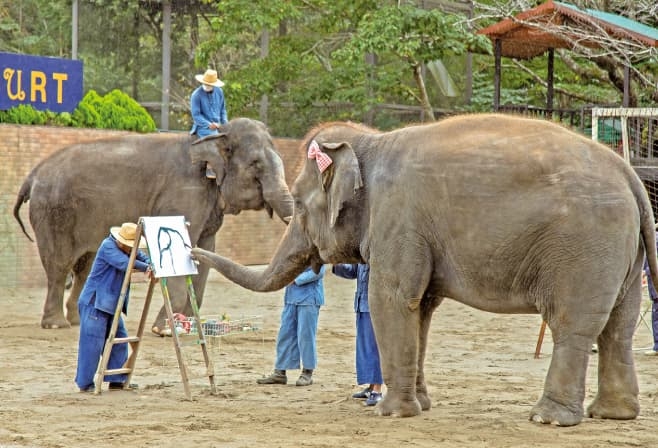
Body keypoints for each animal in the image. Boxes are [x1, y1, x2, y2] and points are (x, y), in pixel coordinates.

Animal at [13, 118, 292, 332]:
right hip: (54, 212)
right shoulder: (185, 196)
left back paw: (77, 321)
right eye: (256, 165)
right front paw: (164, 329)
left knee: (85, 266)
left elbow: (205, 251)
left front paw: (182, 326)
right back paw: (56, 324)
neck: (214, 135)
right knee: (59, 265)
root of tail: (32, 175)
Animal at [192, 114, 656, 426]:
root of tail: (630, 176)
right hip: (623, 252)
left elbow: (392, 301)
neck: (370, 144)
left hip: (585, 246)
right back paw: (613, 415)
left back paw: (548, 418)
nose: (192, 251)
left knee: (573, 326)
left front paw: (390, 413)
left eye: (303, 207)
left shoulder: (400, 218)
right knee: (619, 326)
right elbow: (422, 310)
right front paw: (421, 406)